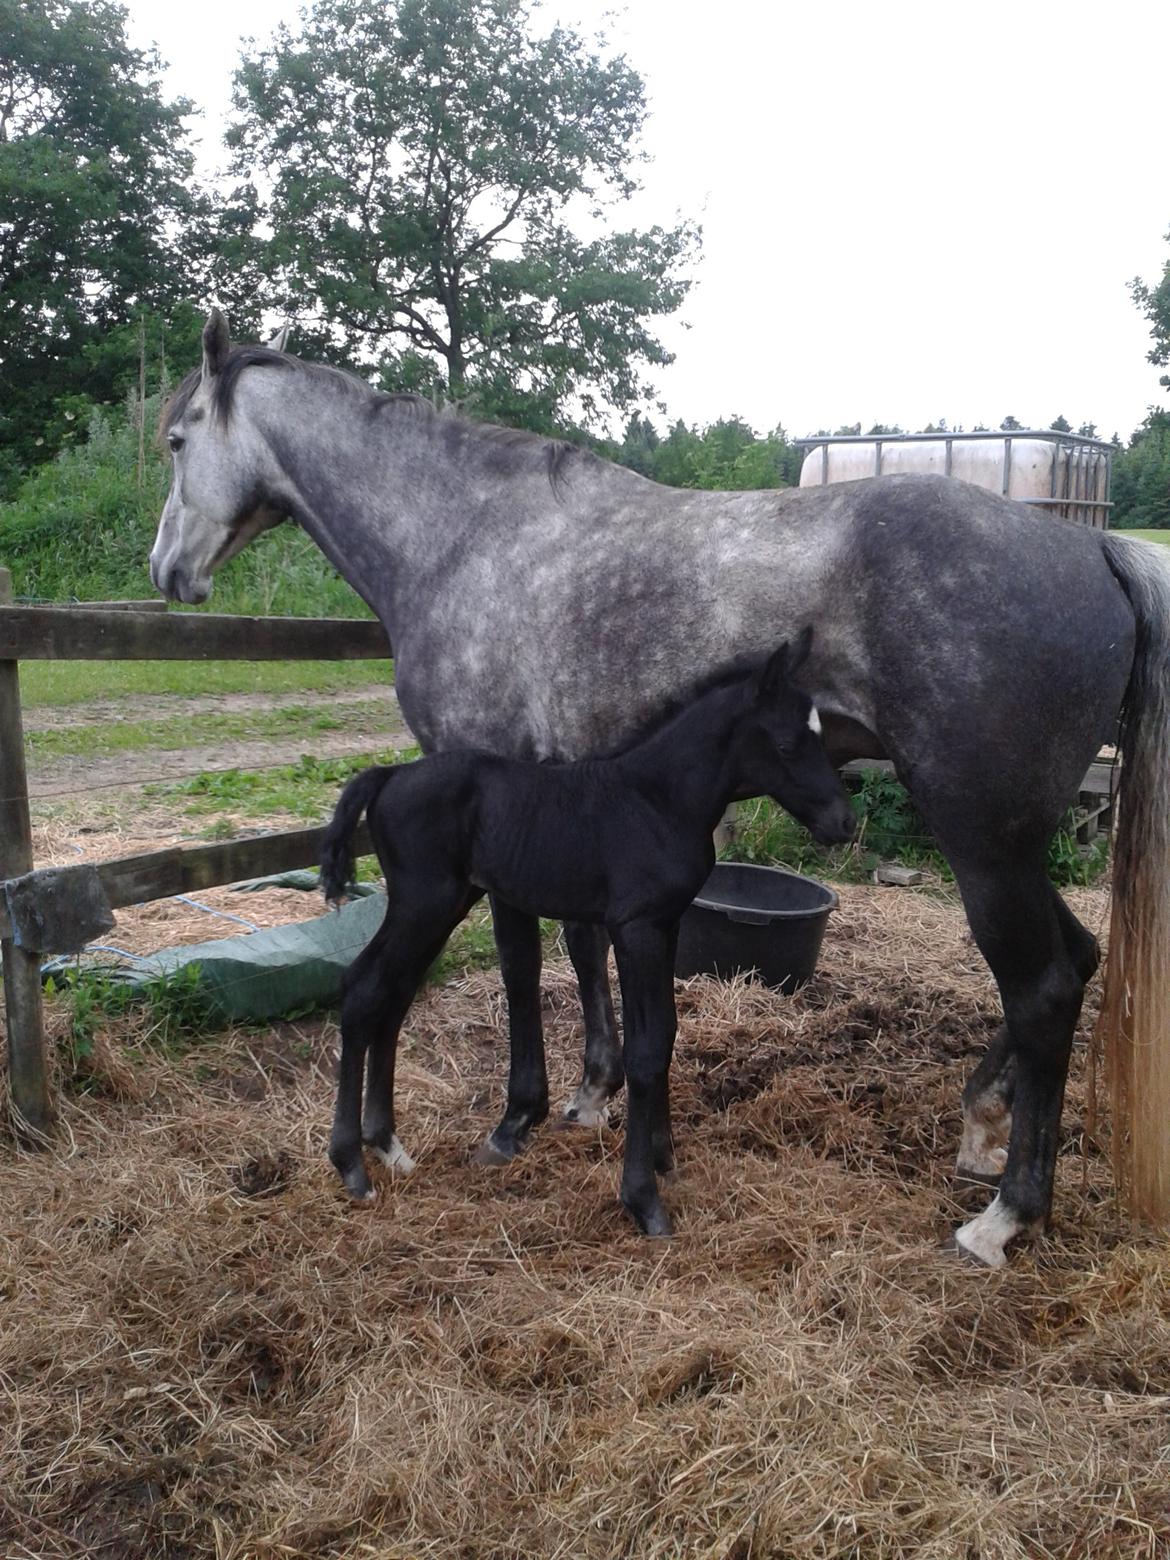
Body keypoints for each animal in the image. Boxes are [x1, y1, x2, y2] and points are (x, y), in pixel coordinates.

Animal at [318, 627, 854, 1235]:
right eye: (787, 744)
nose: (843, 821)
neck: (657, 799)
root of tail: (390, 774)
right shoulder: (636, 926)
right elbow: (646, 1048)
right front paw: (643, 1199)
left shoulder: (666, 924)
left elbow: (667, 1034)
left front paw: (664, 1158)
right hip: (421, 903)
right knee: (364, 991)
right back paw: (351, 1164)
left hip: (444, 904)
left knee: (392, 996)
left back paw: (388, 1146)